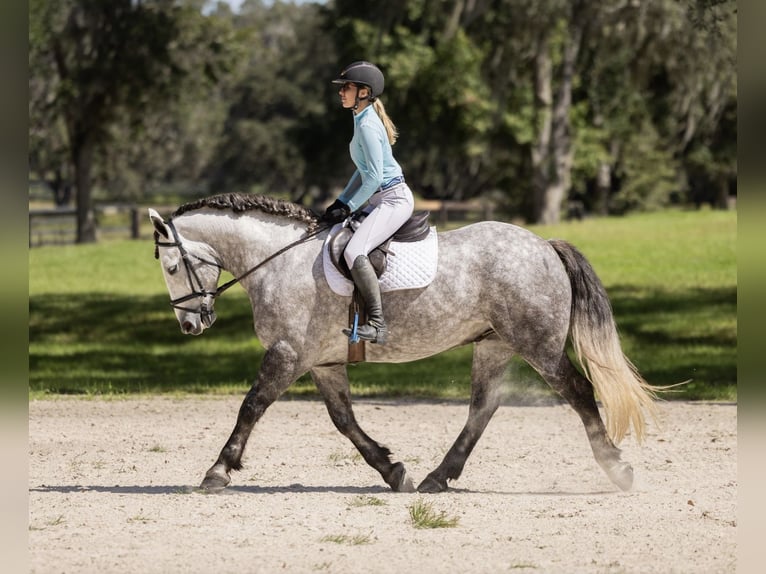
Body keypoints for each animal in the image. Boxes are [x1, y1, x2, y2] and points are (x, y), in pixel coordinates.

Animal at [149, 192, 658, 493]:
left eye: (172, 268)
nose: (191, 325)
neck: (279, 261)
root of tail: (544, 245)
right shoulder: (321, 362)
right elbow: (343, 420)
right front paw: (393, 471)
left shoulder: (288, 354)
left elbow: (251, 406)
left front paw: (217, 470)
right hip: (494, 344)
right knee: (483, 407)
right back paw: (437, 477)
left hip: (539, 346)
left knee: (578, 392)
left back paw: (617, 469)